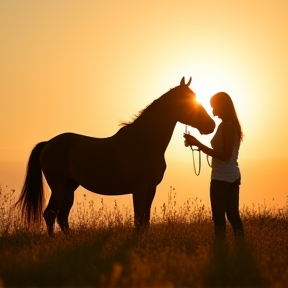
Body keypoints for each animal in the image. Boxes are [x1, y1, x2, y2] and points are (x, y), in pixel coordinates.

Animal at [15, 77, 214, 235]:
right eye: (187, 100)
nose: (211, 125)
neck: (144, 141)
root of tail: (48, 143)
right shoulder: (139, 188)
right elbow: (138, 219)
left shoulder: (151, 188)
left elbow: (146, 218)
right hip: (58, 186)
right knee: (50, 213)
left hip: (69, 187)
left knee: (62, 216)